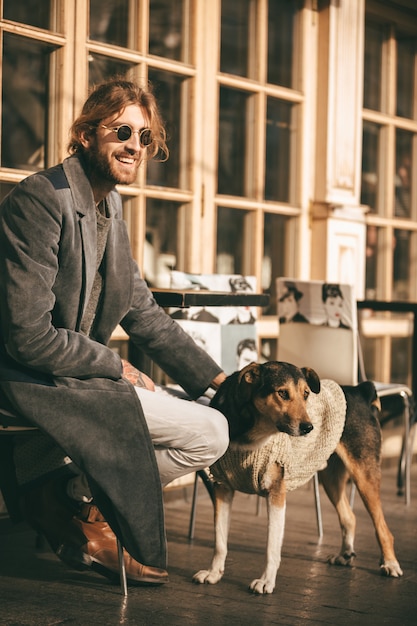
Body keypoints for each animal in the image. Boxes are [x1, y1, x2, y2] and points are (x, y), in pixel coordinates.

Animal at [193, 358, 404, 592]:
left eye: (306, 394)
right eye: (282, 393)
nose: (308, 427)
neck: (252, 432)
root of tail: (360, 391)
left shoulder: (276, 493)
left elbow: (272, 546)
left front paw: (266, 581)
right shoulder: (222, 487)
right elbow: (220, 540)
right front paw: (214, 573)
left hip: (364, 475)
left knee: (382, 527)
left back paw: (390, 563)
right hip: (330, 479)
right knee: (349, 517)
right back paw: (345, 554)